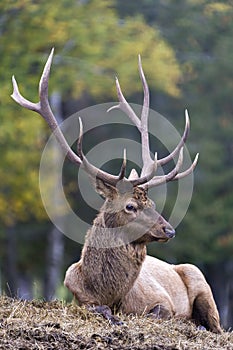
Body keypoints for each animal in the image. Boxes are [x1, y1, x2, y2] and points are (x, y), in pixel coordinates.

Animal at [11, 49, 221, 334]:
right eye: (130, 206)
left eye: (152, 204)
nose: (169, 230)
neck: (109, 294)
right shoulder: (79, 297)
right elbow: (98, 309)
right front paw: (111, 316)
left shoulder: (162, 302)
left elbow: (157, 314)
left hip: (200, 280)